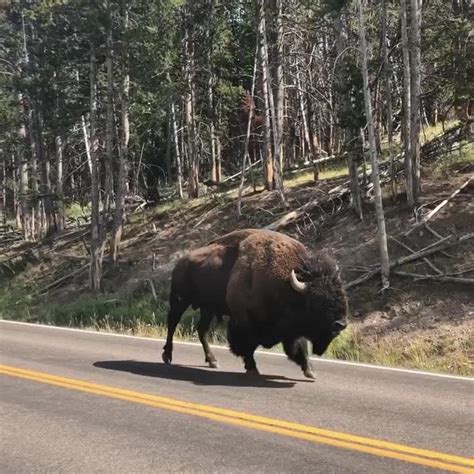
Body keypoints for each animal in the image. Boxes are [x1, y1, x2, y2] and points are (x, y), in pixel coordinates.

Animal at [163, 228, 348, 380]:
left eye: (342, 294)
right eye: (316, 301)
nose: (341, 324)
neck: (285, 284)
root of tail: (180, 262)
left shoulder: (291, 329)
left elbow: (299, 347)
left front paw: (310, 371)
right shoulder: (244, 320)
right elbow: (247, 345)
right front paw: (252, 368)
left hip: (207, 309)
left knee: (202, 331)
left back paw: (213, 361)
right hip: (180, 300)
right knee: (172, 324)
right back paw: (167, 356)